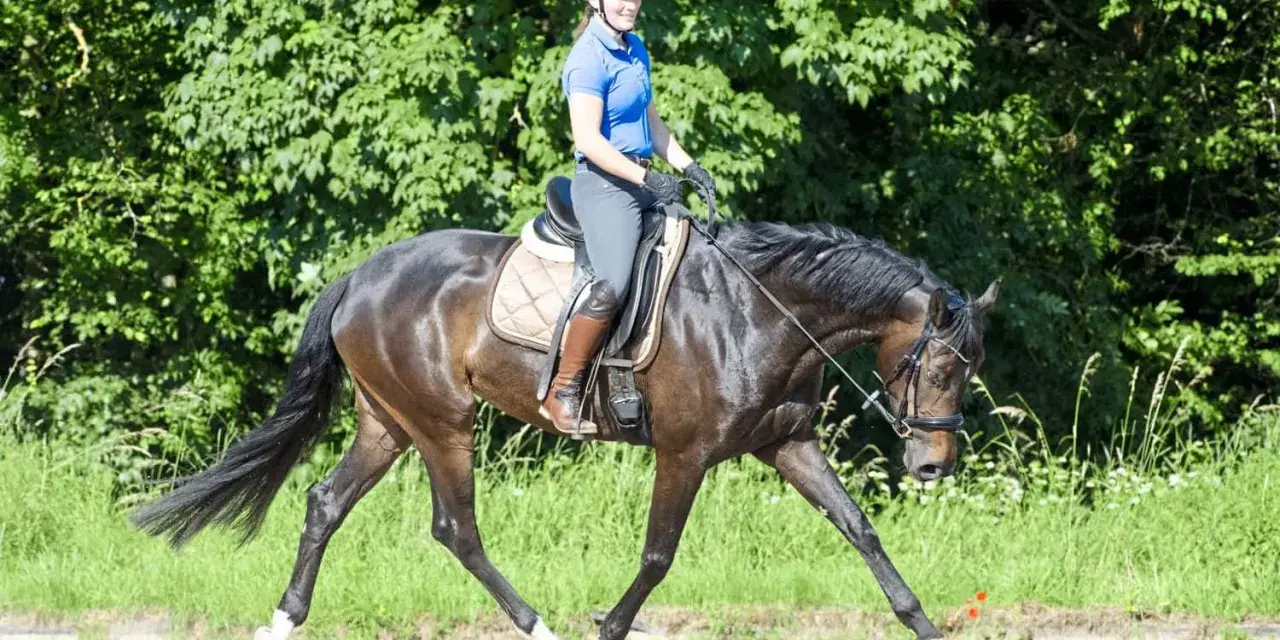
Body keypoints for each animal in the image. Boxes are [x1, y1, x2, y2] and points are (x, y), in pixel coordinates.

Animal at [133, 218, 998, 640]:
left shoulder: (787, 445)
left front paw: (923, 624)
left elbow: (860, 530)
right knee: (456, 529)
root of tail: (359, 275)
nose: (933, 466)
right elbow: (657, 556)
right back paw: (537, 625)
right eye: (937, 367)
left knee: (325, 503)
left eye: (968, 370)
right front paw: (609, 626)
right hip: (442, 421)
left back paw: (285, 618)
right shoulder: (685, 453)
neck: (760, 309)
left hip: (388, 421)